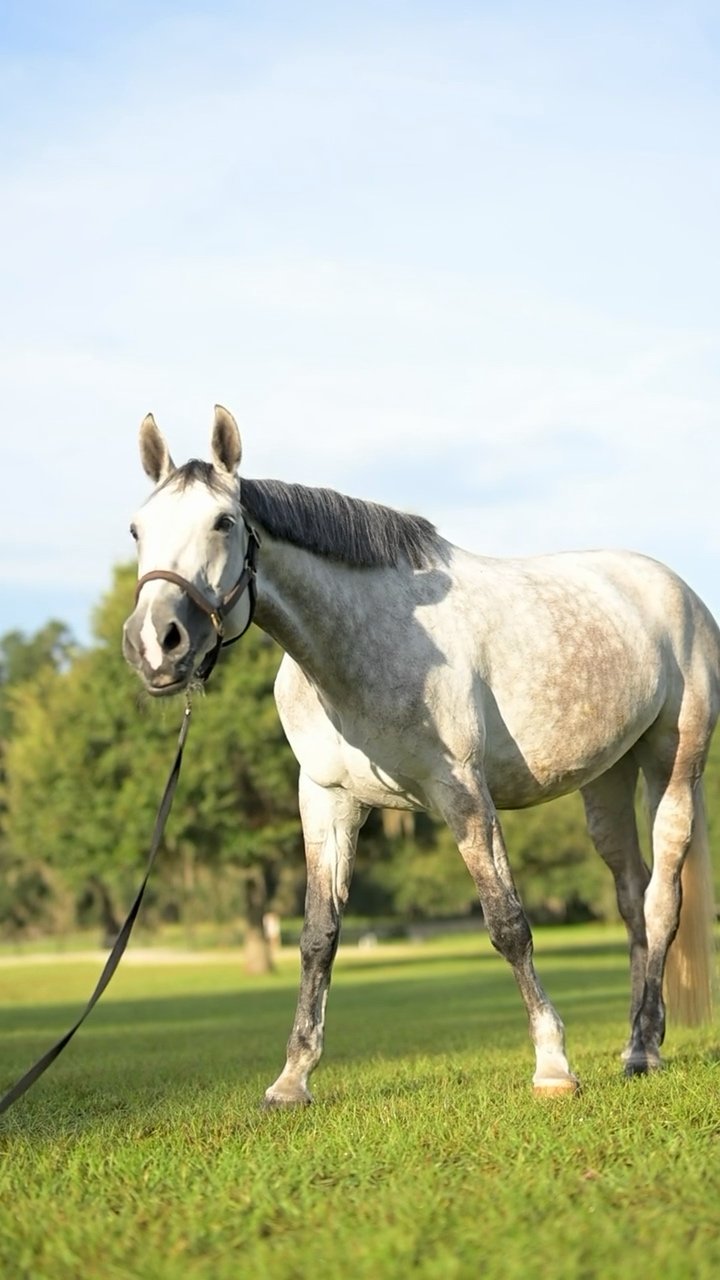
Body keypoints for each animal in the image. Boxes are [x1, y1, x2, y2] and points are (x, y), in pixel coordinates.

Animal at [122, 405, 718, 1101]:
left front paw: (552, 1065)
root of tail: (675, 589)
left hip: (671, 766)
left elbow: (507, 923)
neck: (365, 643)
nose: (154, 644)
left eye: (223, 521)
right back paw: (634, 1041)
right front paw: (292, 1079)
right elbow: (318, 936)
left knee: (661, 901)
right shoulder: (325, 800)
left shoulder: (463, 792)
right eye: (137, 529)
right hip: (605, 781)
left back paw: (645, 1049)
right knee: (631, 899)